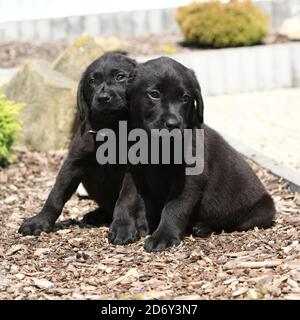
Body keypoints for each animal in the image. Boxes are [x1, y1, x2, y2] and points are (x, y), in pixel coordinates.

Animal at [18, 52, 145, 238]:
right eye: (92, 81)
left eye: (120, 77)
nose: (103, 98)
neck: (110, 128)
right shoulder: (73, 163)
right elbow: (56, 195)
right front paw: (40, 221)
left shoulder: (132, 169)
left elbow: (126, 198)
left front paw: (123, 227)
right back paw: (97, 215)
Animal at [111, 57, 276, 252]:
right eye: (154, 94)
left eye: (185, 98)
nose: (173, 124)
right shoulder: (134, 170)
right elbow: (126, 197)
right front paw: (123, 228)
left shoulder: (189, 178)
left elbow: (175, 206)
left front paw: (163, 236)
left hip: (261, 211)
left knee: (229, 223)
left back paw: (201, 227)